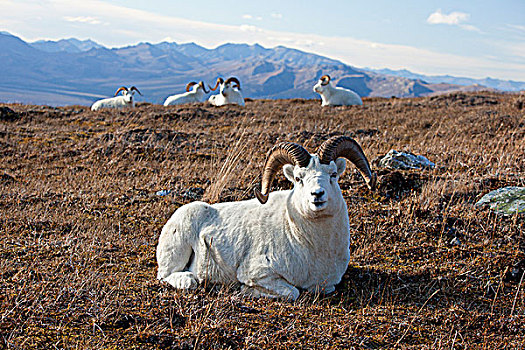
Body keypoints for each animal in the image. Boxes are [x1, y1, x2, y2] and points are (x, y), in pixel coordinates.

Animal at [156, 135, 376, 300]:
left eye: (333, 174)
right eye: (298, 178)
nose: (317, 195)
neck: (313, 247)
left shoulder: (325, 285)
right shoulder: (258, 273)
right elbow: (293, 292)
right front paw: (245, 291)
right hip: (177, 251)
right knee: (166, 275)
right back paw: (190, 280)